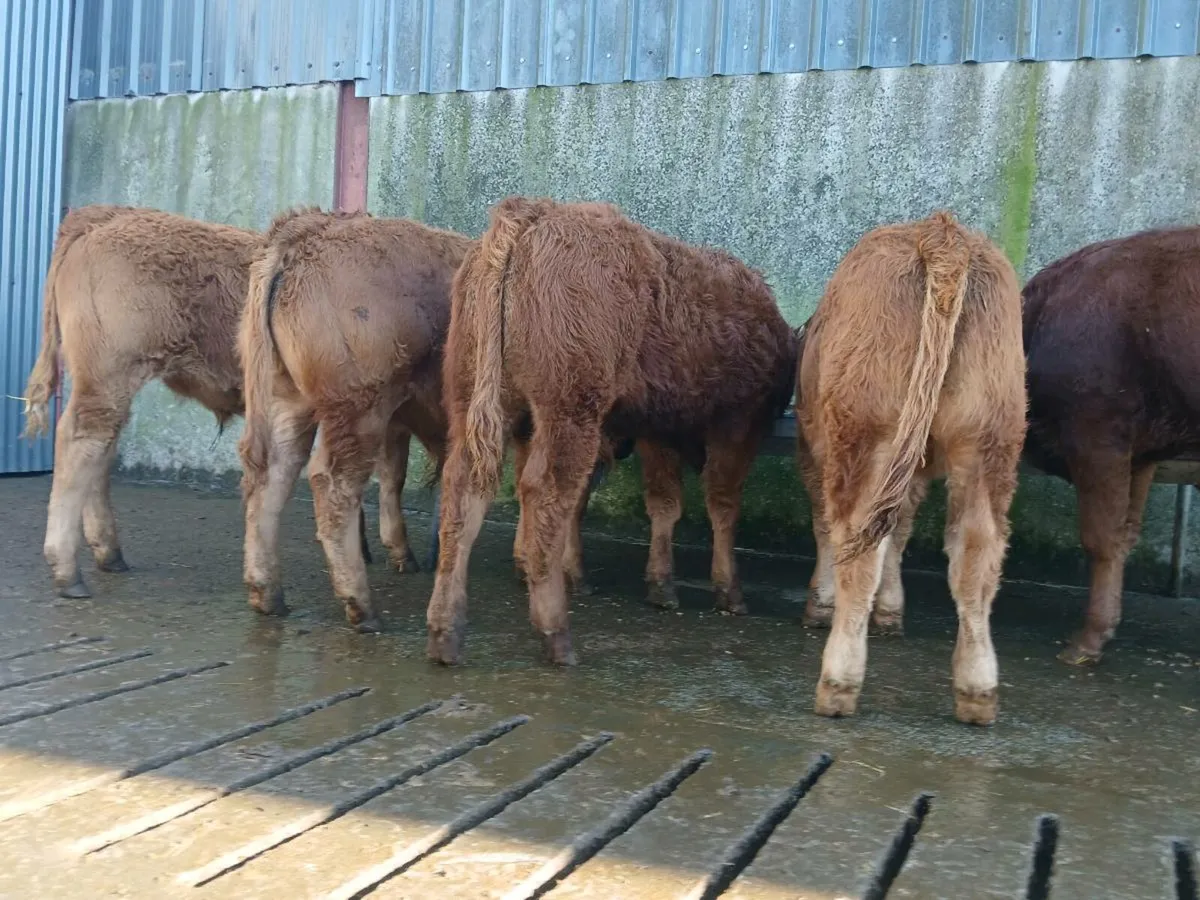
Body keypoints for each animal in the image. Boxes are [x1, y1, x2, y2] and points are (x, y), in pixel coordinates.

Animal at [22, 205, 393, 599]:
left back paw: (109, 554)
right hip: (108, 376)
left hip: (111, 384)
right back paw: (68, 571)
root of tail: (104, 216)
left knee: (100, 450)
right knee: (80, 442)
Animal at [238, 208, 472, 632]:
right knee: (333, 483)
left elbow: (394, 476)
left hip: (290, 402)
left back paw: (268, 594)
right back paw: (361, 607)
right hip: (361, 409)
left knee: (271, 475)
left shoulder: (399, 422)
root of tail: (307, 232)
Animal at [426, 196, 798, 667]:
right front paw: (728, 591)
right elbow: (722, 503)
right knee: (546, 494)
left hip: (475, 402)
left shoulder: (657, 430)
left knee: (465, 494)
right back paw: (556, 634)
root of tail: (532, 214)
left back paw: (446, 632)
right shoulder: (737, 426)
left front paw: (662, 585)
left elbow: (665, 504)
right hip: (569, 415)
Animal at [796, 211, 1025, 726]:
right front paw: (891, 609)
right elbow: (900, 529)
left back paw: (838, 682)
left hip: (866, 435)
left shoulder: (815, 452)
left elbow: (828, 528)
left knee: (857, 543)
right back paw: (977, 689)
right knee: (977, 552)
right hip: (989, 440)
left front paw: (821, 604)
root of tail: (940, 233)